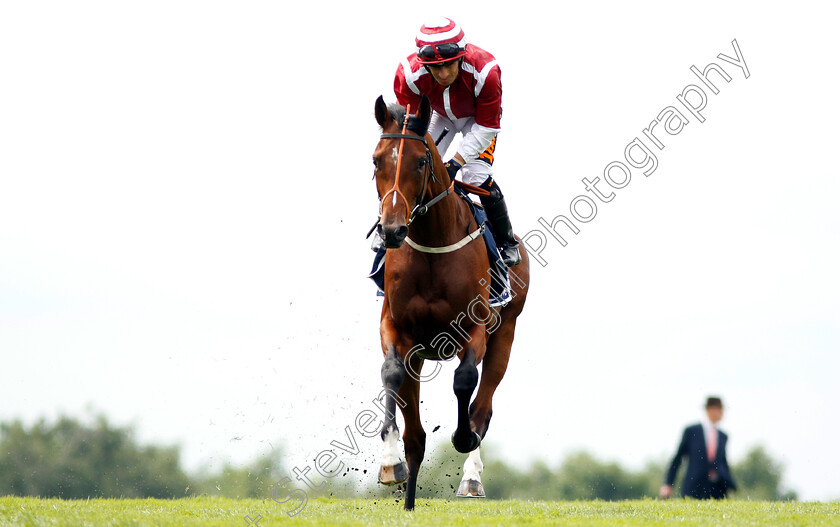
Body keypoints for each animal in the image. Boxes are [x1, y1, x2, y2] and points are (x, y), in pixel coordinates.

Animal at [370, 96, 528, 512]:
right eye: (376, 160)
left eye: (420, 162)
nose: (391, 230)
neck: (432, 244)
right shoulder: (396, 328)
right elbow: (391, 374)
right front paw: (390, 463)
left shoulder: (474, 329)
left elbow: (465, 381)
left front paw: (464, 436)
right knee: (417, 436)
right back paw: (409, 497)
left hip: (506, 331)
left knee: (483, 404)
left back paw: (471, 475)